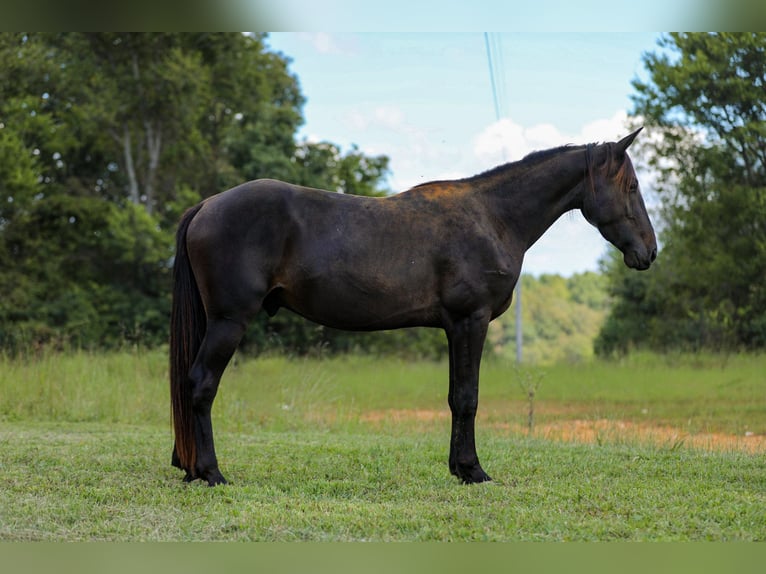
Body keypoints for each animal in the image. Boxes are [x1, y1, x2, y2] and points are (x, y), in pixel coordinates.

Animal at [169, 128, 656, 486]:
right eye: (631, 186)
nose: (649, 252)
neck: (493, 218)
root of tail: (207, 205)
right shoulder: (471, 321)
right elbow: (468, 398)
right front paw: (474, 471)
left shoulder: (454, 327)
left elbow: (455, 397)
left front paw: (459, 468)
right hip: (229, 322)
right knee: (201, 384)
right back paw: (211, 473)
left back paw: (191, 468)